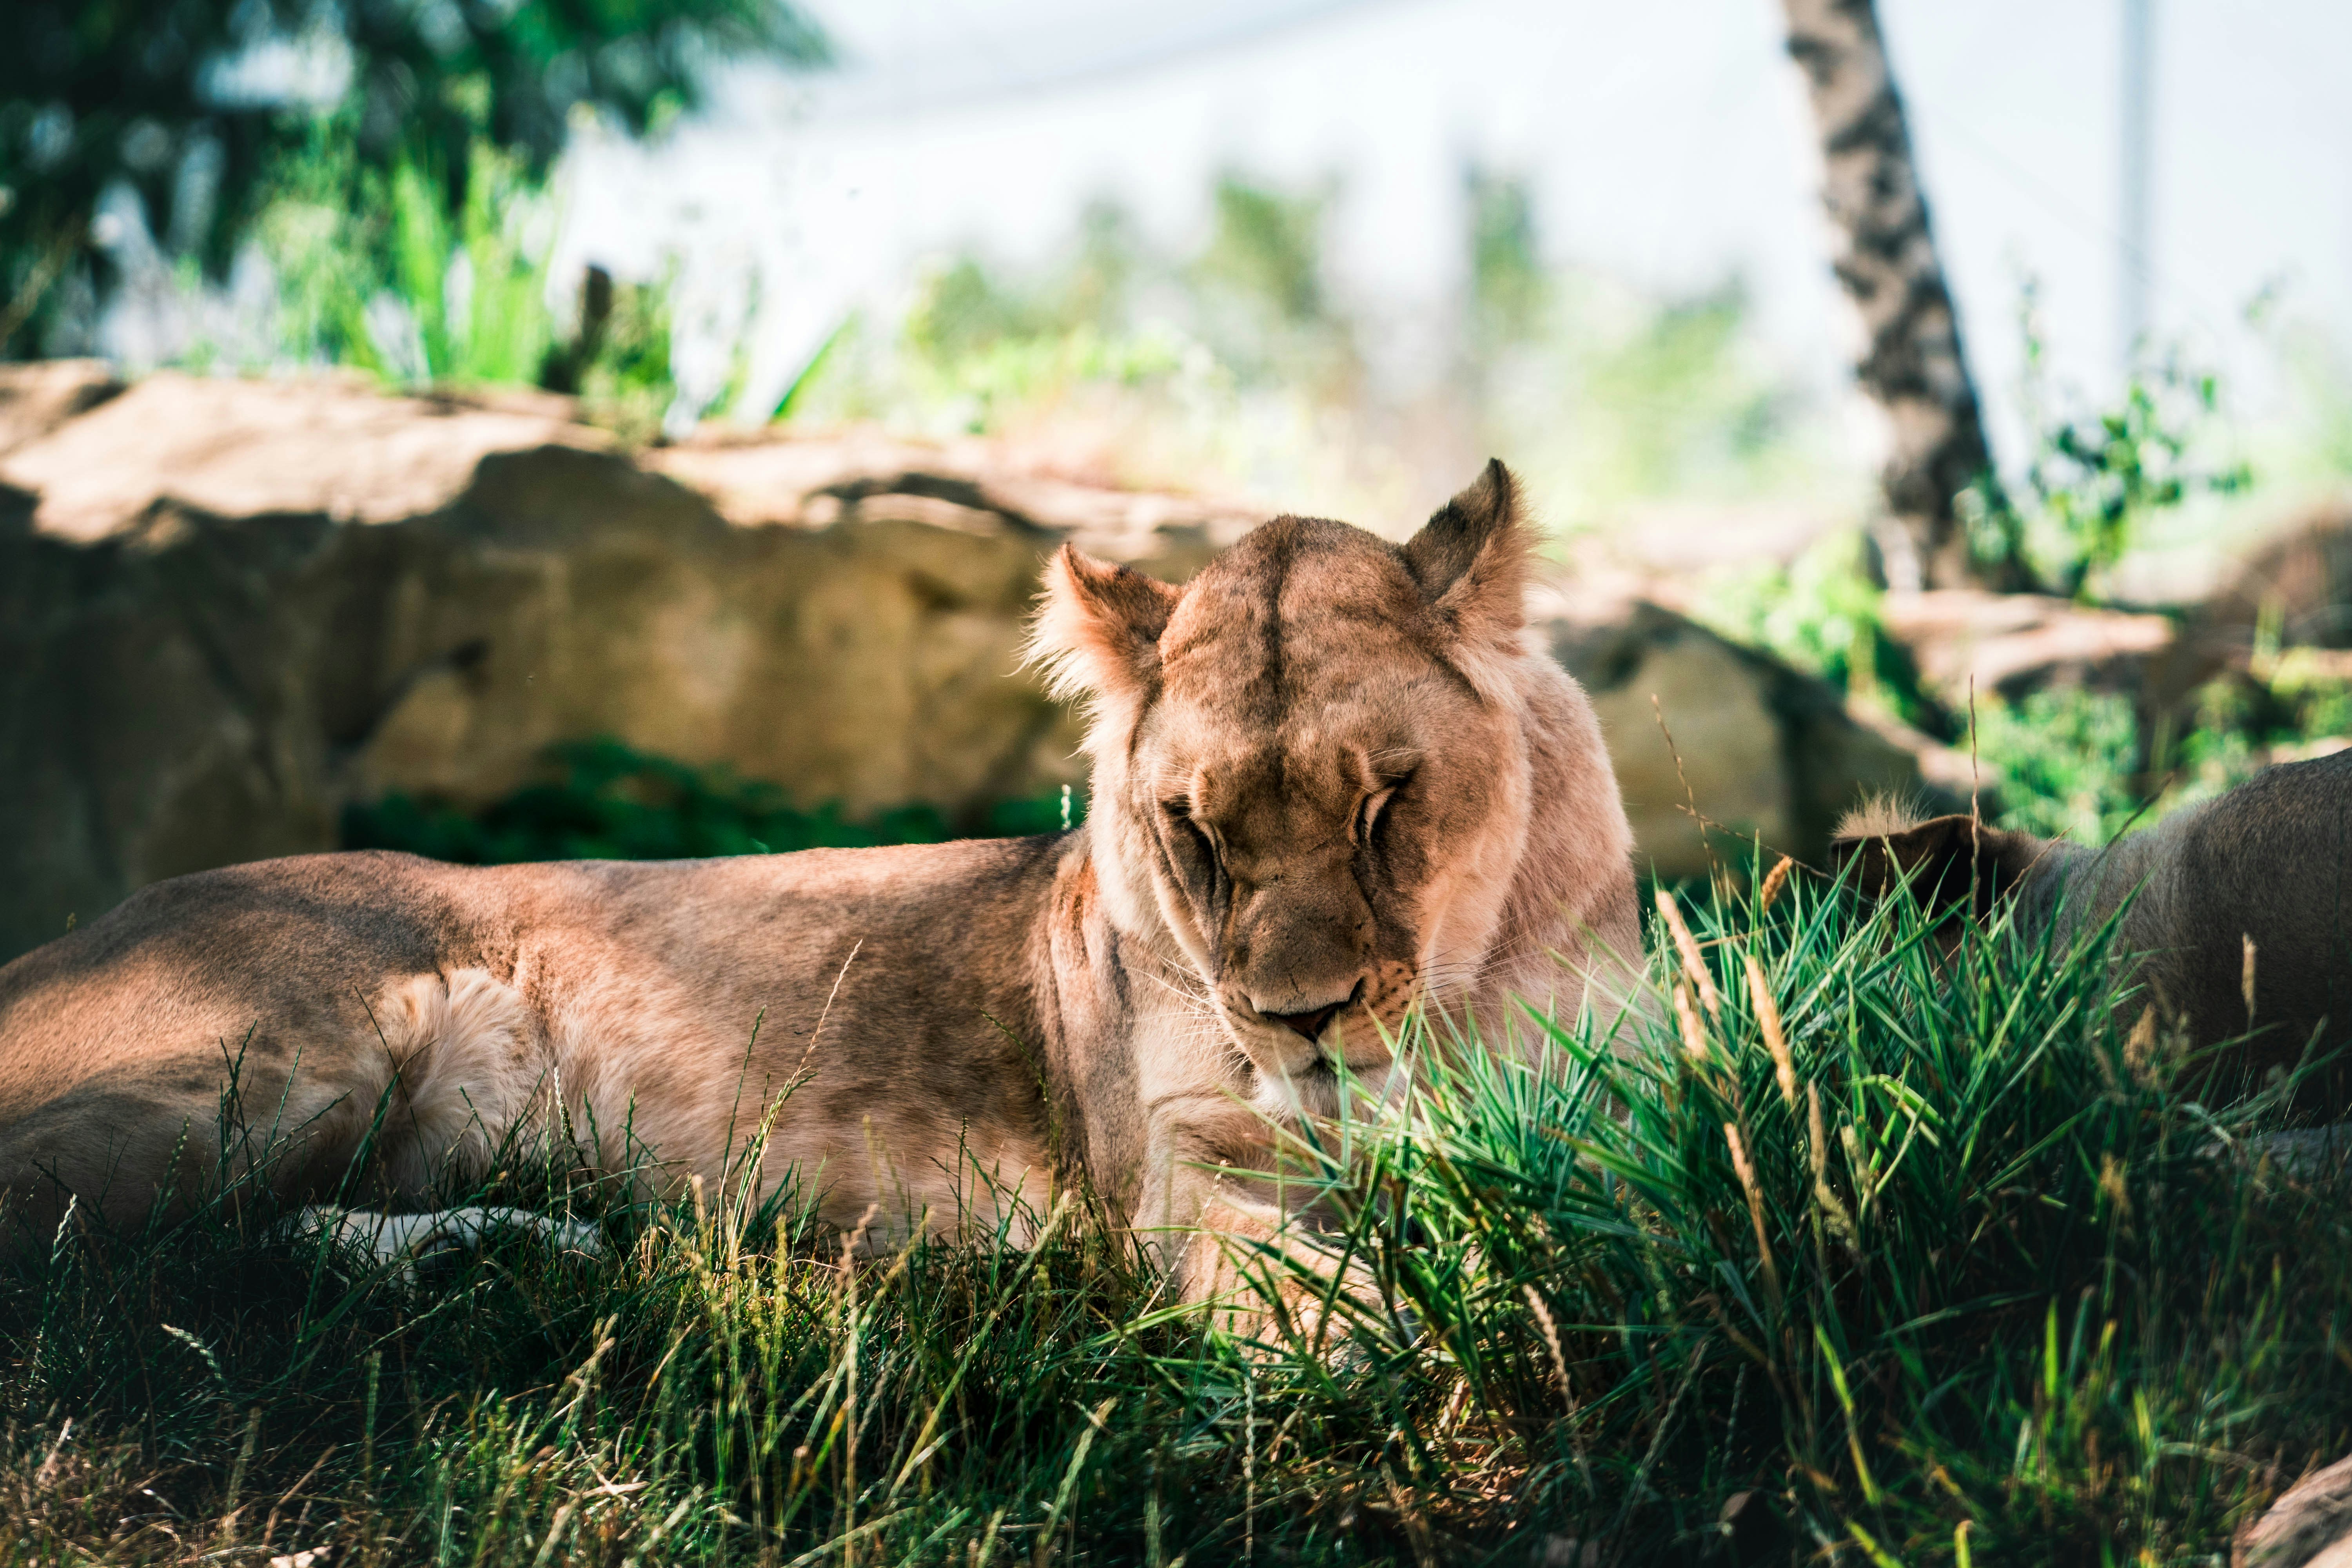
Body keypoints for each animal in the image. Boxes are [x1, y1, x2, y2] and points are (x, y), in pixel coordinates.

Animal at [0, 460, 1642, 1294]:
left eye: (1386, 803)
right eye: (1196, 832)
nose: (1299, 1021)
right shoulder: (1182, 1163)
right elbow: (1299, 1282)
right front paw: (1409, 1347)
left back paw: (508, 1246)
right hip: (275, 1056)